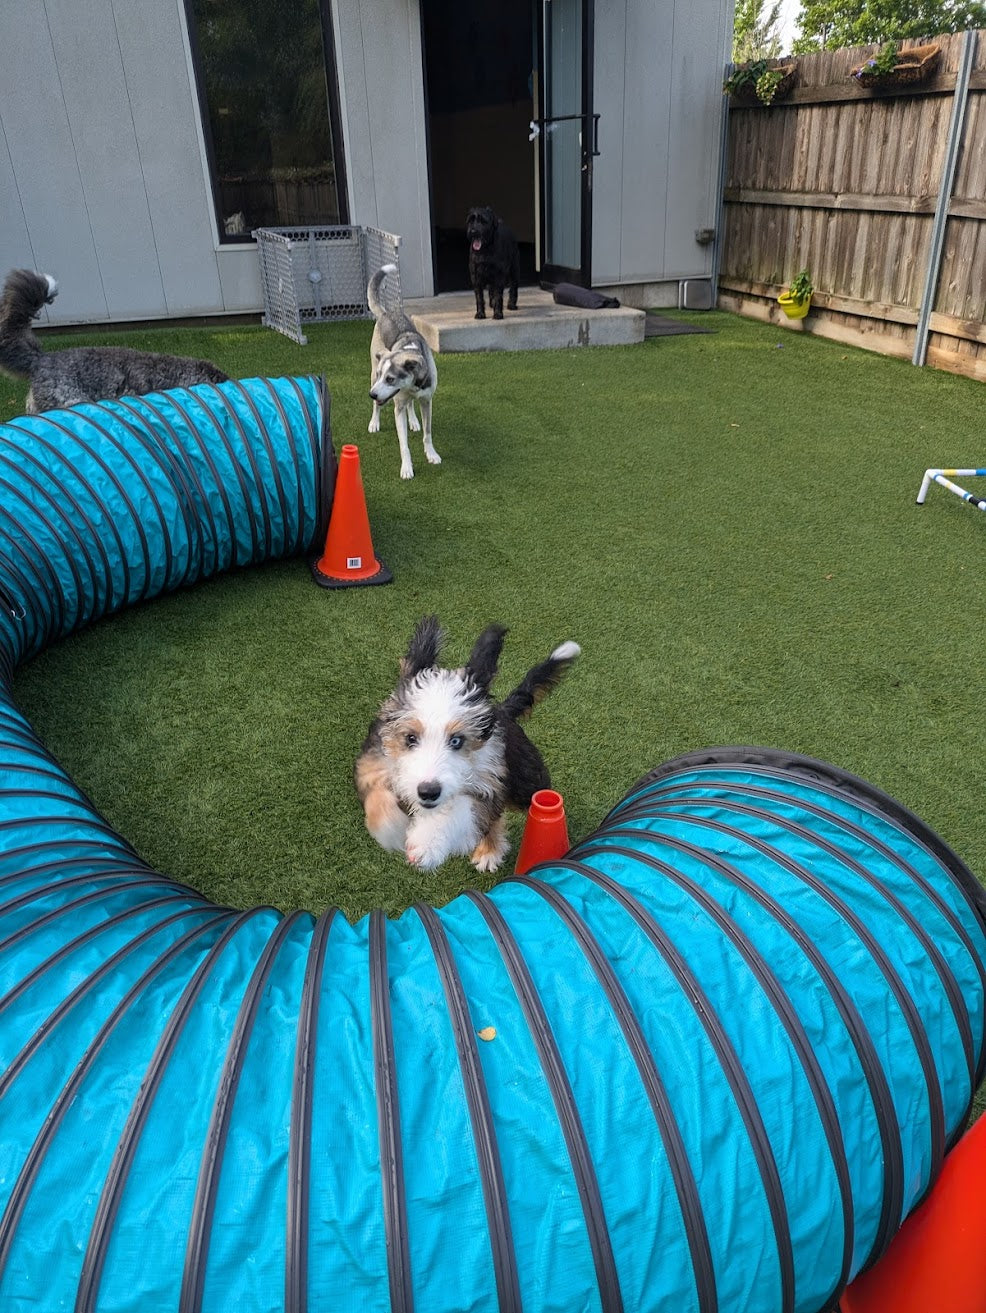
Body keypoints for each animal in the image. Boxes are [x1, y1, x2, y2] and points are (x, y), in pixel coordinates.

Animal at [359, 614, 582, 871]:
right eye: (410, 738)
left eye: (457, 740)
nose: (428, 792)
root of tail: (503, 710)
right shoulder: (375, 757)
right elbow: (376, 789)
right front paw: (389, 828)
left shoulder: (488, 780)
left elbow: (462, 811)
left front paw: (427, 843)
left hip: (526, 780)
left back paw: (494, 848)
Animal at [367, 263, 438, 480]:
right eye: (382, 376)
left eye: (390, 379)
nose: (372, 394)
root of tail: (385, 313)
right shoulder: (396, 406)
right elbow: (403, 444)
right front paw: (407, 468)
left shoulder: (427, 400)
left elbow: (427, 433)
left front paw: (431, 454)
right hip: (372, 373)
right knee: (378, 407)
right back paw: (374, 422)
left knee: (410, 405)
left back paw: (413, 421)